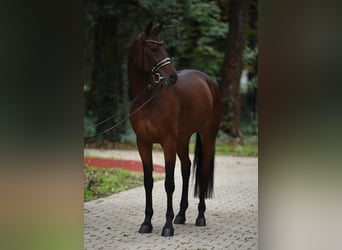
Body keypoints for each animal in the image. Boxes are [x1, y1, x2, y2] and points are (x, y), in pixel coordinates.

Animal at [128, 21, 222, 236]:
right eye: (154, 49)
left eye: (165, 48)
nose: (172, 77)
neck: (148, 100)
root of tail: (209, 81)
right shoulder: (143, 143)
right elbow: (148, 182)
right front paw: (146, 223)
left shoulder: (168, 143)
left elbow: (169, 183)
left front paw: (167, 226)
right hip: (182, 139)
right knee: (186, 168)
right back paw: (181, 214)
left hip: (207, 136)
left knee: (202, 171)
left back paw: (200, 217)